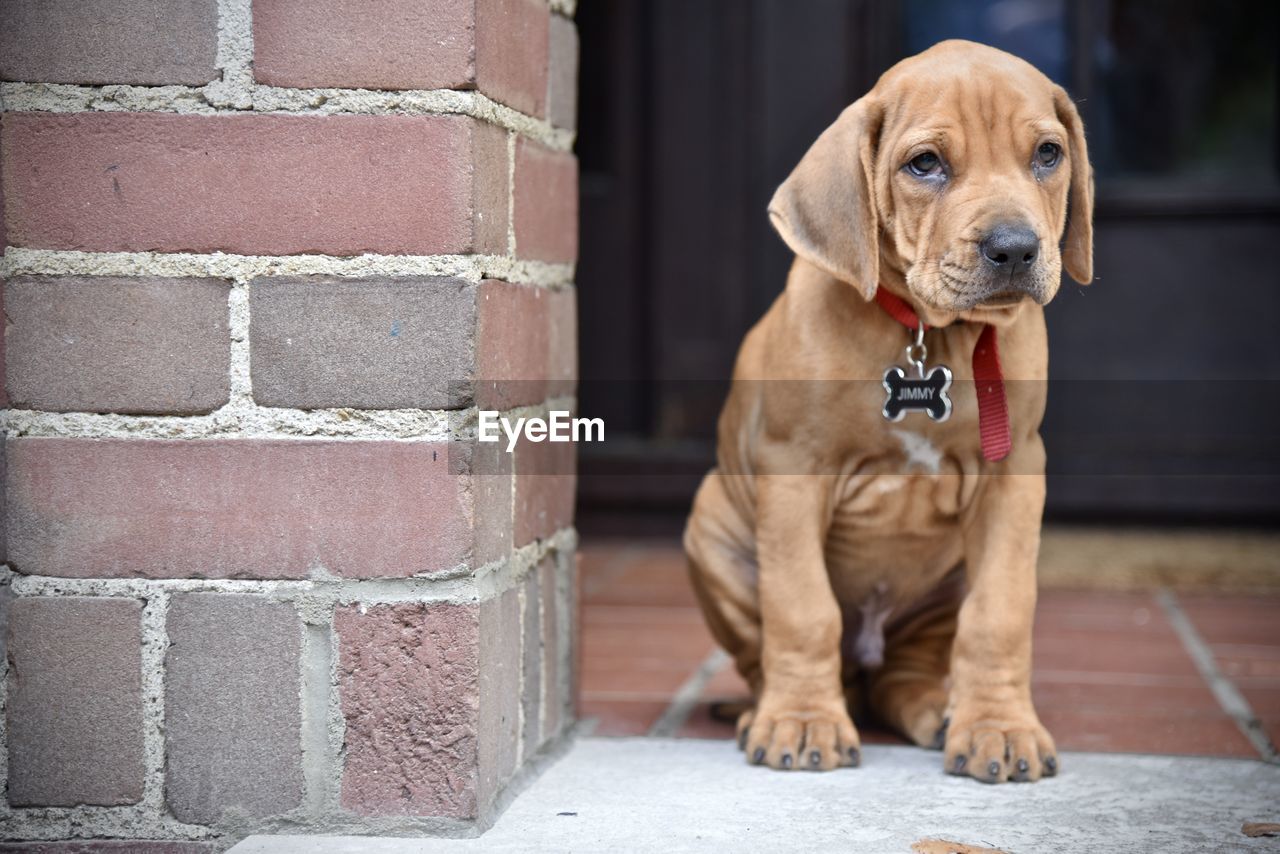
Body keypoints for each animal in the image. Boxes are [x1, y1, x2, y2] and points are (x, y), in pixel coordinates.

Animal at [686, 41, 1095, 788]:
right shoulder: (794, 471)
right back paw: (769, 710)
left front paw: (999, 728)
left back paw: (937, 710)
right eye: (924, 164)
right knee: (775, 657)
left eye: (1049, 154)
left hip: (938, 592)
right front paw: (801, 721)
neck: (932, 330)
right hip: (713, 533)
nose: (1015, 248)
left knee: (901, 675)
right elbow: (802, 608)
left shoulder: (1015, 472)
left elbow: (1000, 611)